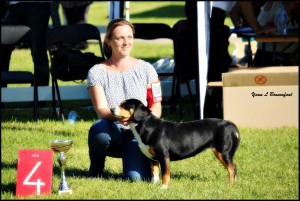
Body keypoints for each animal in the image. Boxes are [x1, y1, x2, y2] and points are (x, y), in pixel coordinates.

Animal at [111, 98, 240, 189]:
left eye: (125, 105)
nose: (111, 109)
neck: (147, 127)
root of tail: (229, 124)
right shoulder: (153, 159)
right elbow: (155, 173)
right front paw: (153, 185)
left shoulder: (164, 156)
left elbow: (165, 174)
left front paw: (163, 187)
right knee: (234, 167)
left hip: (223, 152)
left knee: (232, 169)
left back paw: (230, 185)